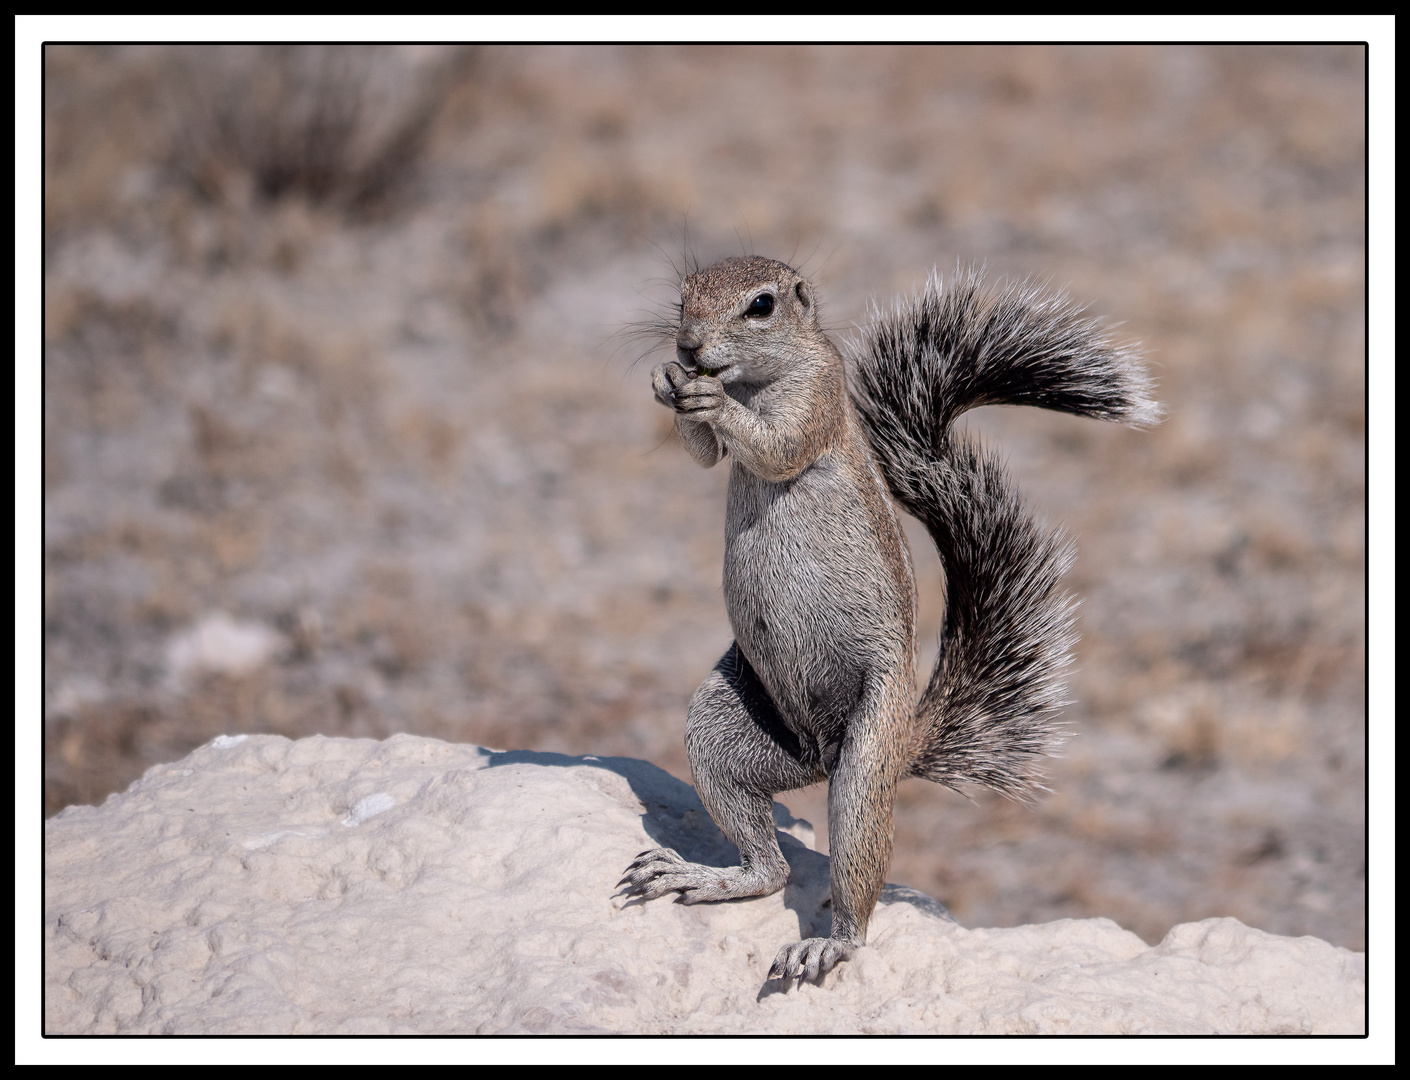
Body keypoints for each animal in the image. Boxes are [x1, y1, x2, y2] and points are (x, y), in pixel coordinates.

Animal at [620, 258, 1156, 986]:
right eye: (683, 300)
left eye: (760, 307)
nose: (688, 346)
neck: (755, 379)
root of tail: (821, 758)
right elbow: (704, 455)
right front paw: (667, 383)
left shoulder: (818, 398)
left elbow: (776, 446)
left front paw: (706, 398)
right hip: (721, 730)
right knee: (771, 868)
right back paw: (710, 876)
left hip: (867, 760)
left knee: (850, 869)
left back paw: (831, 943)